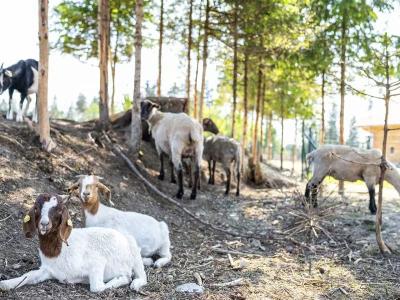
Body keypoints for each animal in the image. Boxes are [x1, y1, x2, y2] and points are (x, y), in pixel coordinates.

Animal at [0, 192, 147, 292]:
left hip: (134, 251)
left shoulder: (97, 262)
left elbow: (97, 287)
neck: (60, 251)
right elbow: (28, 275)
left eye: (59, 210)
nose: (44, 224)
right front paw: (6, 284)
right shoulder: (48, 270)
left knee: (142, 276)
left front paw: (121, 279)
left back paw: (133, 282)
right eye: (36, 208)